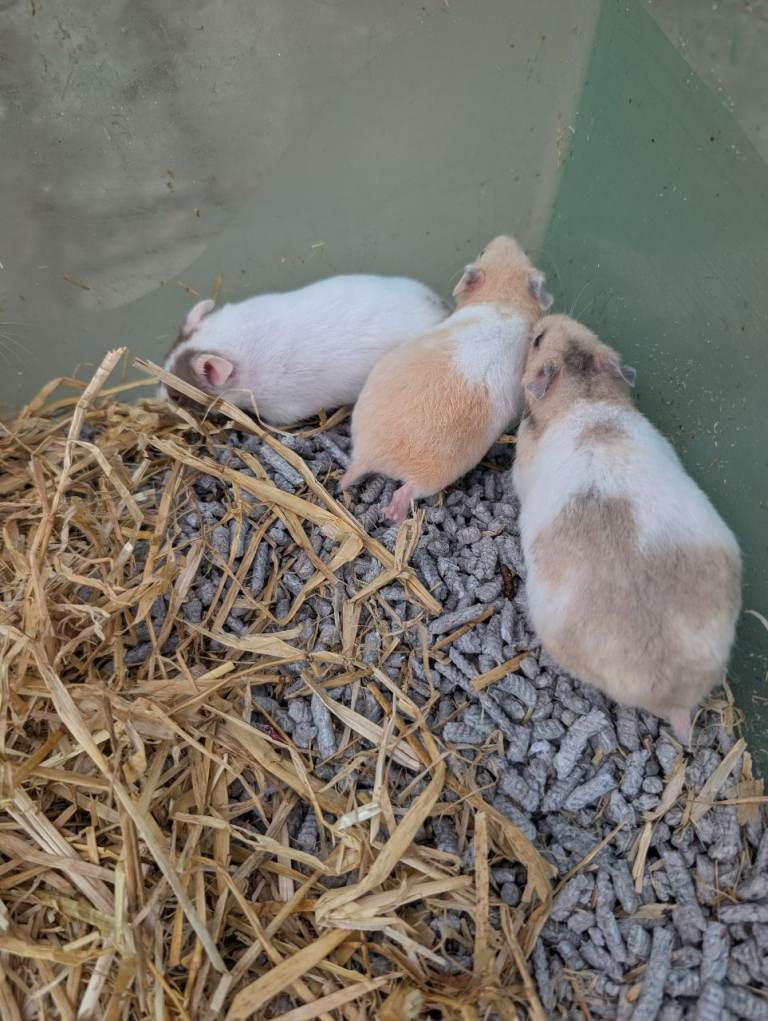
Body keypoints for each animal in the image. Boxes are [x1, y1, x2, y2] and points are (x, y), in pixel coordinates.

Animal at [341, 235, 553, 522]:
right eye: (482, 251)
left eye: (525, 254)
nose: (505, 237)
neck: (504, 296)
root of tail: (371, 453)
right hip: (430, 477)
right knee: (403, 494)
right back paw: (393, 515)